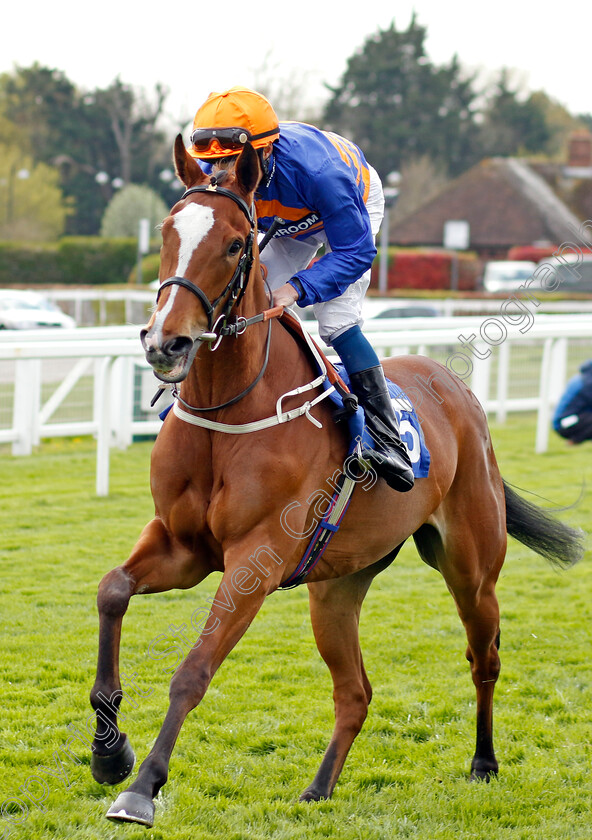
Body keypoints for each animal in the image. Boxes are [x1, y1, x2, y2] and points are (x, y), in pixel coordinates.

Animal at [91, 136, 584, 828]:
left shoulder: (255, 562)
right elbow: (112, 591)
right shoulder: (182, 546)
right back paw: (319, 787)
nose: (168, 343)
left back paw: (484, 762)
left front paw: (140, 788)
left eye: (236, 244)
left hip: (472, 567)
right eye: (167, 231)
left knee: (483, 657)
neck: (229, 412)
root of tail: (456, 388)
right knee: (355, 692)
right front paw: (109, 753)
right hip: (337, 587)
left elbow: (192, 670)